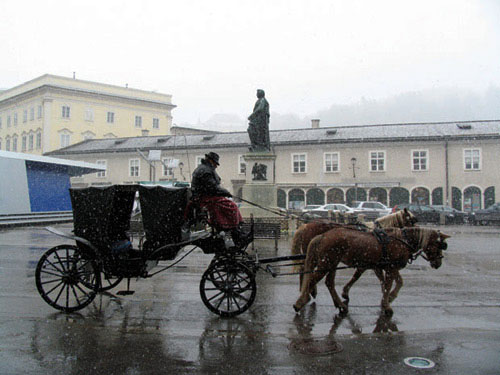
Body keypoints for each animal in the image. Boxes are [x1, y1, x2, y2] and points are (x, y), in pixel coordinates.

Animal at [292, 228, 450, 316]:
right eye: (440, 245)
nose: (439, 263)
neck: (401, 240)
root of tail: (323, 235)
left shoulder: (384, 267)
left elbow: (395, 282)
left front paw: (388, 299)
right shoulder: (390, 267)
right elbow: (389, 284)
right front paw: (387, 304)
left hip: (332, 263)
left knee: (329, 283)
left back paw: (340, 305)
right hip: (328, 262)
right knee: (313, 279)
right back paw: (301, 301)